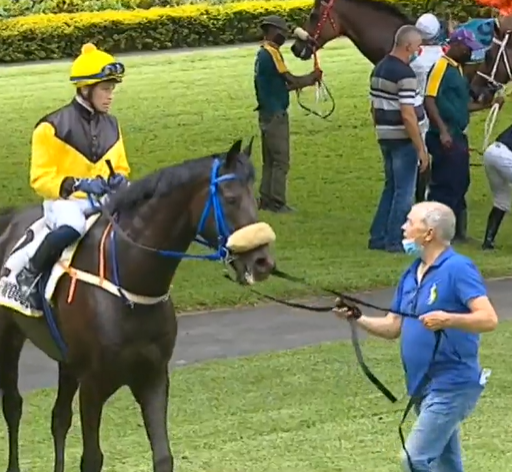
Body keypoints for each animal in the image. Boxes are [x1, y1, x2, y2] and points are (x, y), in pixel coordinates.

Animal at [0, 137, 276, 472]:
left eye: (255, 198)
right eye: (232, 198)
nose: (262, 261)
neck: (128, 286)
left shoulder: (153, 377)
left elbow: (163, 455)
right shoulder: (93, 384)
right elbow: (92, 458)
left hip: (67, 361)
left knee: (59, 418)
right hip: (9, 338)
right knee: (13, 405)